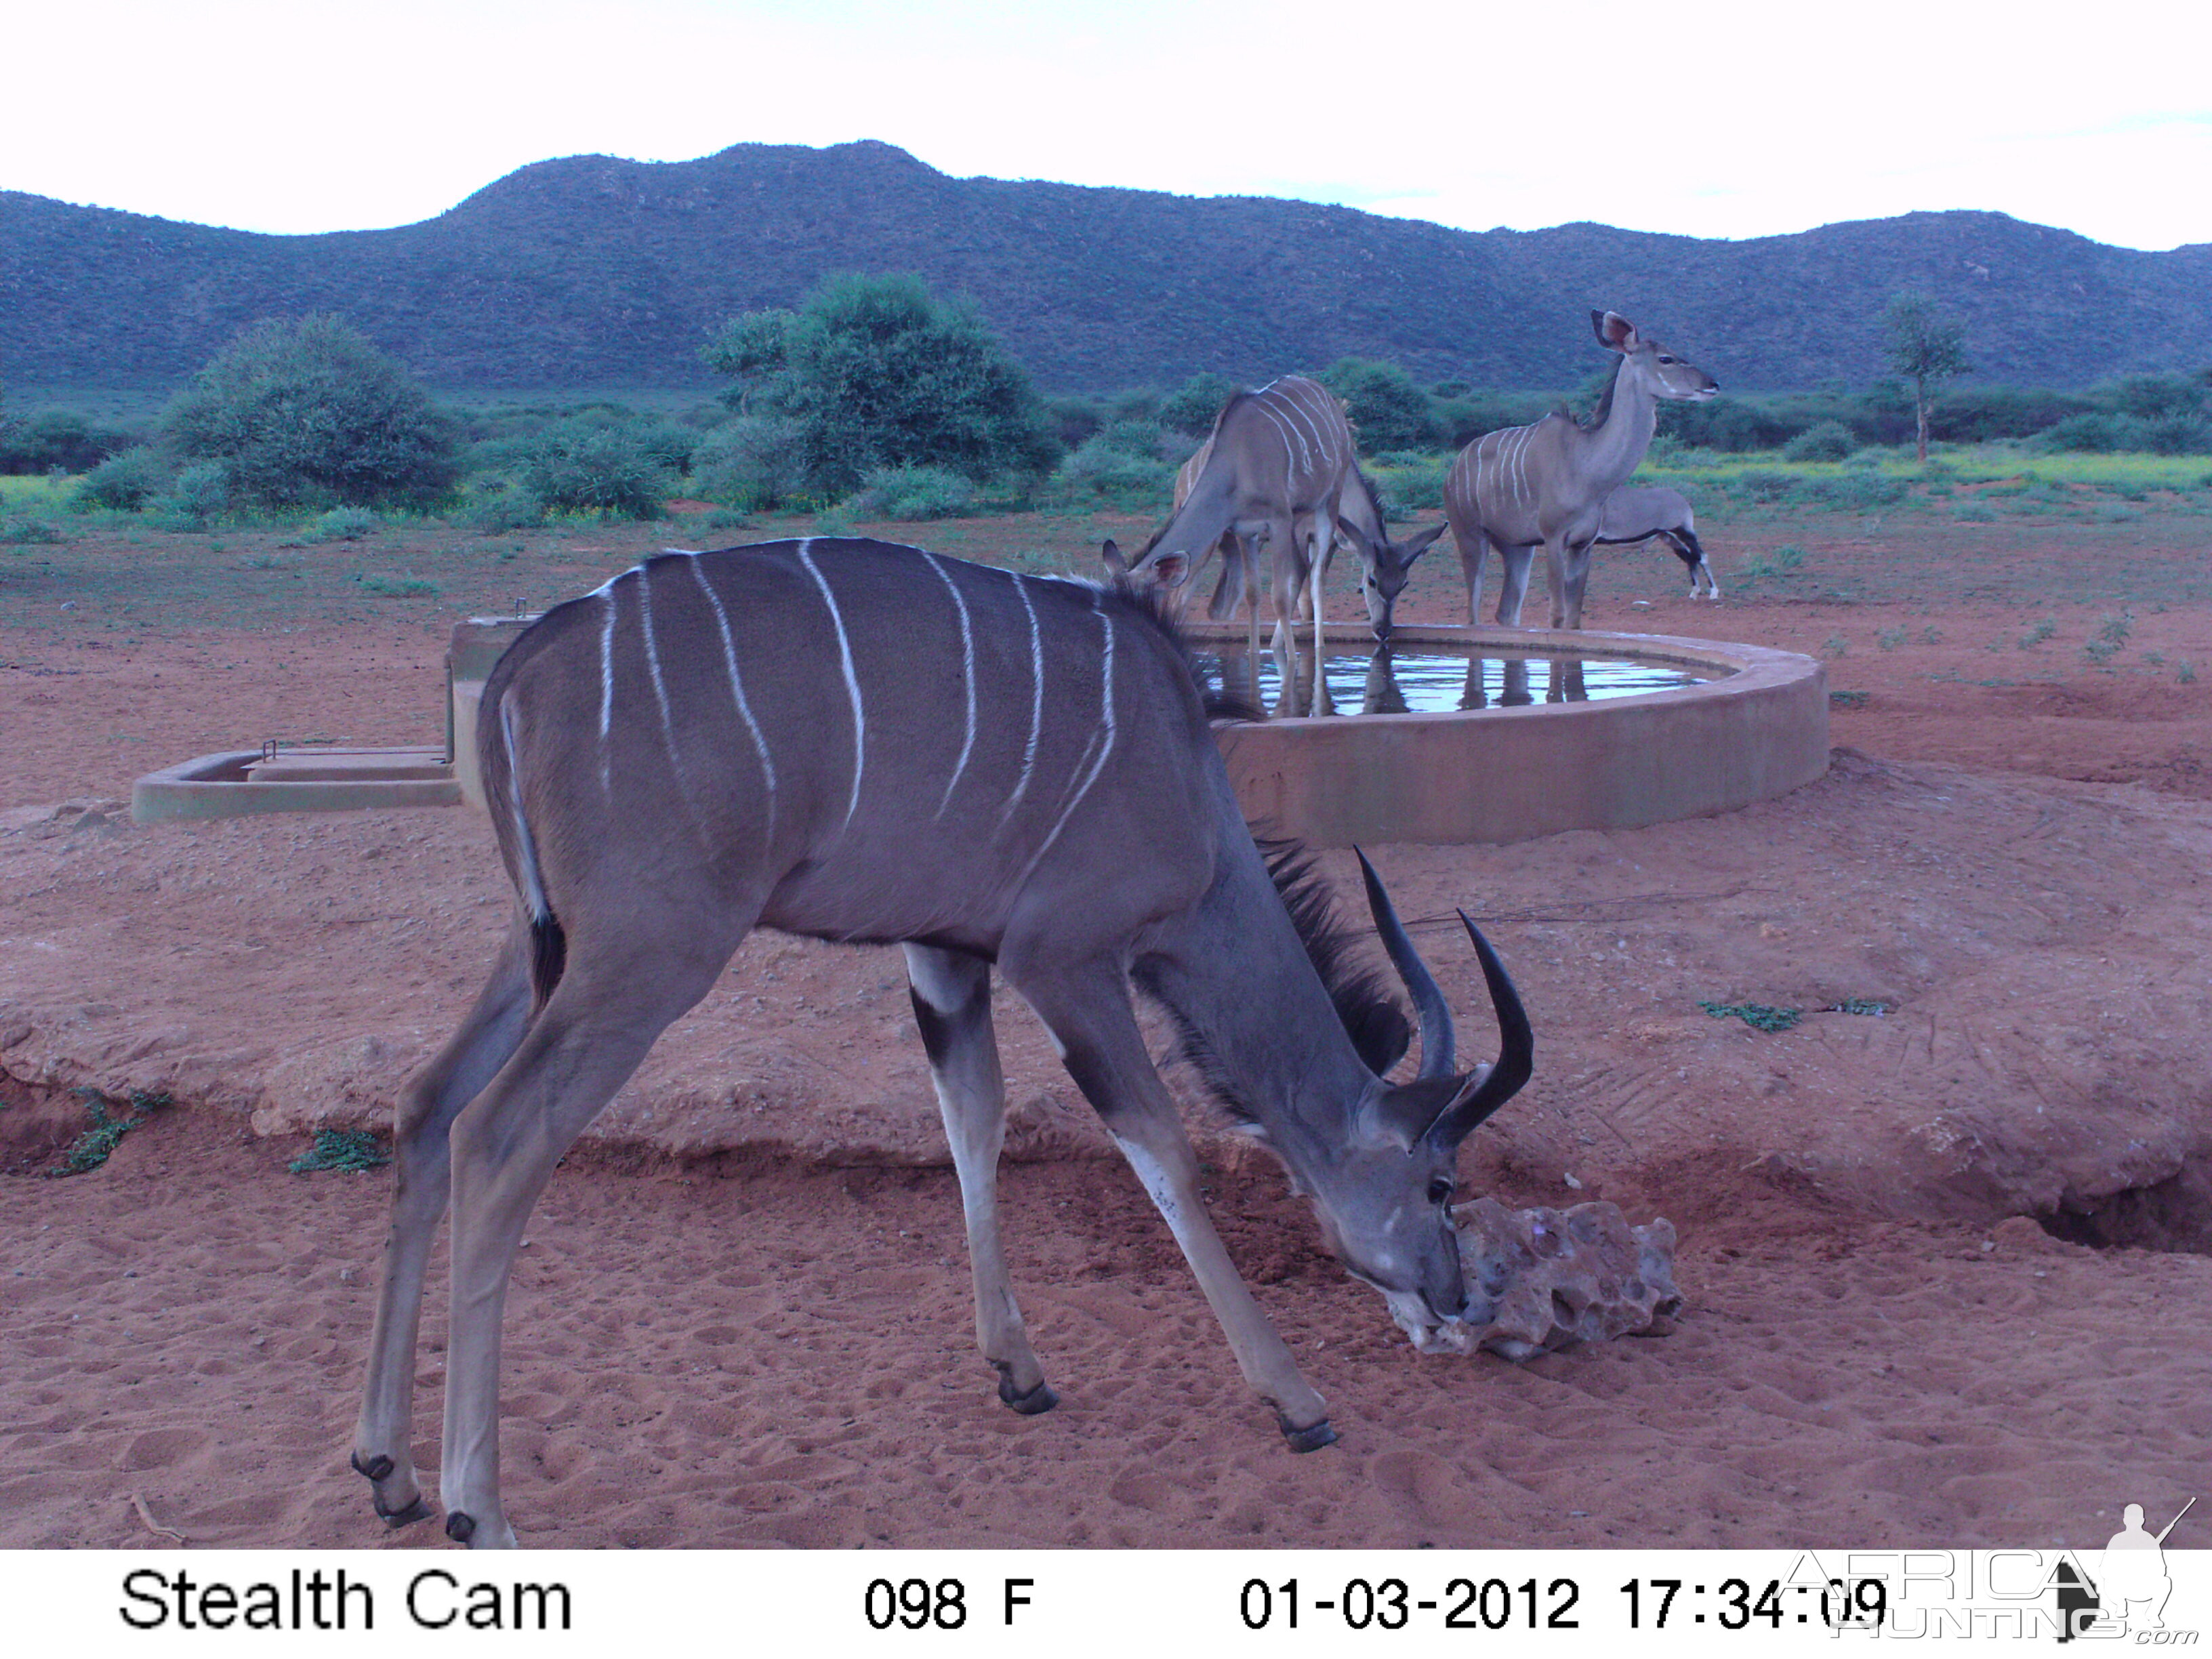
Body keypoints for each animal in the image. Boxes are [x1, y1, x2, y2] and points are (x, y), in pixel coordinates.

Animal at [354, 539, 1539, 1557]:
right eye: (1440, 1184)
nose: (1455, 1301)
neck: (1196, 804)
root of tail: (523, 665)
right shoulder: (1064, 957)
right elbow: (1161, 1148)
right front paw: (1296, 1403)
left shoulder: (944, 954)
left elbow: (973, 1119)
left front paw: (1018, 1371)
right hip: (647, 958)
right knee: (496, 1136)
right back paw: (479, 1512)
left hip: (545, 946)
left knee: (424, 1104)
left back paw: (390, 1471)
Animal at [1601, 484, 1716, 601]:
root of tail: (1682, 500)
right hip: (1672, 540)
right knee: (1691, 559)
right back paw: (1694, 593)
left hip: (1683, 535)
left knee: (1702, 558)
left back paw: (1713, 593)